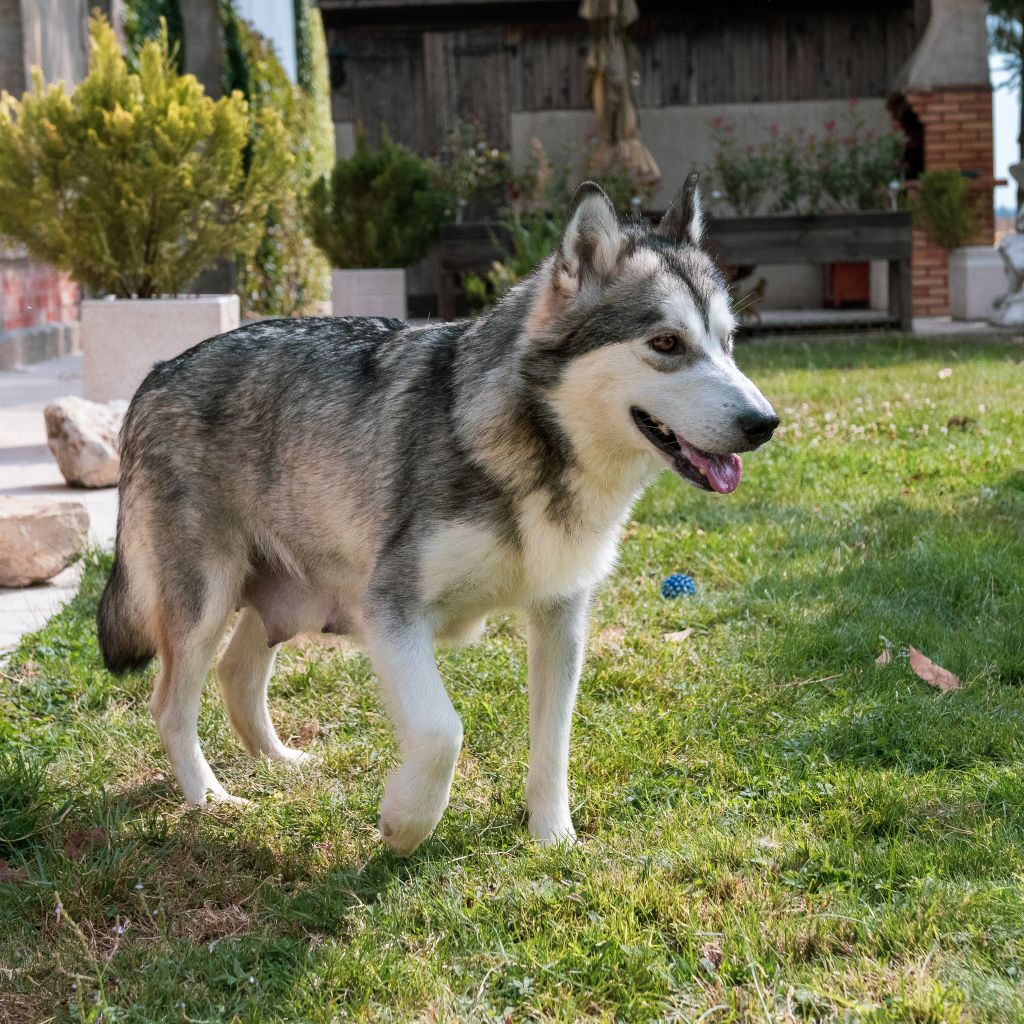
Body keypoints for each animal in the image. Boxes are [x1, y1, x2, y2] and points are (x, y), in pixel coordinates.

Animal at [99, 176, 778, 856]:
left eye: (728, 342)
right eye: (666, 343)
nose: (764, 423)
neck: (532, 450)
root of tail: (156, 374)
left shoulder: (561, 616)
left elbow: (552, 746)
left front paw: (553, 839)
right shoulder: (392, 610)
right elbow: (440, 733)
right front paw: (405, 823)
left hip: (290, 603)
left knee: (237, 673)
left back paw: (280, 763)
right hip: (206, 604)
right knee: (170, 707)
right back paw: (209, 798)